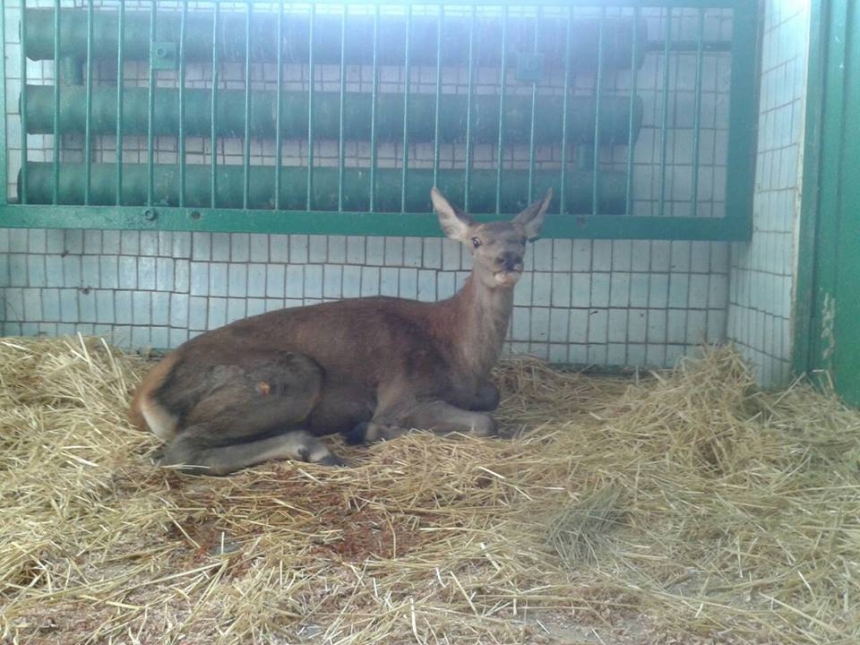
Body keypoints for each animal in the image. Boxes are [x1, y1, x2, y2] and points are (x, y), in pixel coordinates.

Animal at [131, 186, 556, 472]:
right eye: (476, 240)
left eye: (523, 240)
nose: (508, 259)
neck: (460, 354)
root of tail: (146, 399)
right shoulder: (403, 394)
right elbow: (485, 422)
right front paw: (367, 429)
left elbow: (491, 400)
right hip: (285, 375)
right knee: (182, 448)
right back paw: (317, 446)